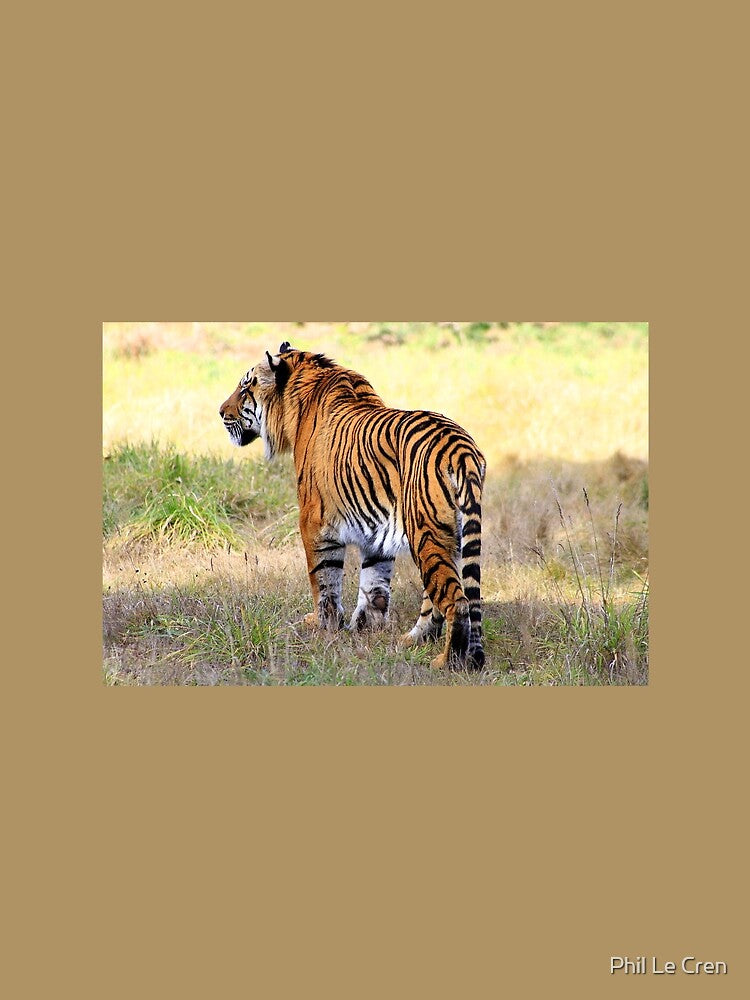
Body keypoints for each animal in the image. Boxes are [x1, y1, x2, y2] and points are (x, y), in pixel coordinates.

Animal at [219, 343, 486, 669]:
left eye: (245, 388)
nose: (221, 411)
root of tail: (460, 447)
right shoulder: (377, 529)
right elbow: (374, 582)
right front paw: (366, 626)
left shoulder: (314, 521)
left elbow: (323, 578)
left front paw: (323, 624)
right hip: (450, 535)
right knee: (437, 597)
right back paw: (412, 640)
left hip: (426, 533)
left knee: (456, 601)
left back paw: (445, 661)